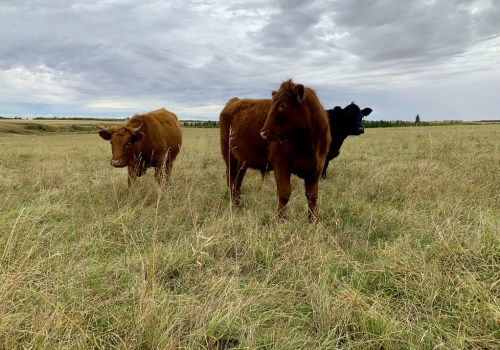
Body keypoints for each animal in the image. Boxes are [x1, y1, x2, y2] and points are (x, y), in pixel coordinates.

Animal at [220, 80, 330, 221]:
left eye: (283, 105)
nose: (263, 133)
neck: (309, 145)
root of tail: (234, 101)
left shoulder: (318, 167)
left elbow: (312, 195)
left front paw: (313, 219)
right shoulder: (280, 163)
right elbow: (284, 193)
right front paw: (279, 219)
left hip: (242, 161)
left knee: (237, 182)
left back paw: (239, 206)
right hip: (229, 156)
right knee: (232, 181)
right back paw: (235, 206)